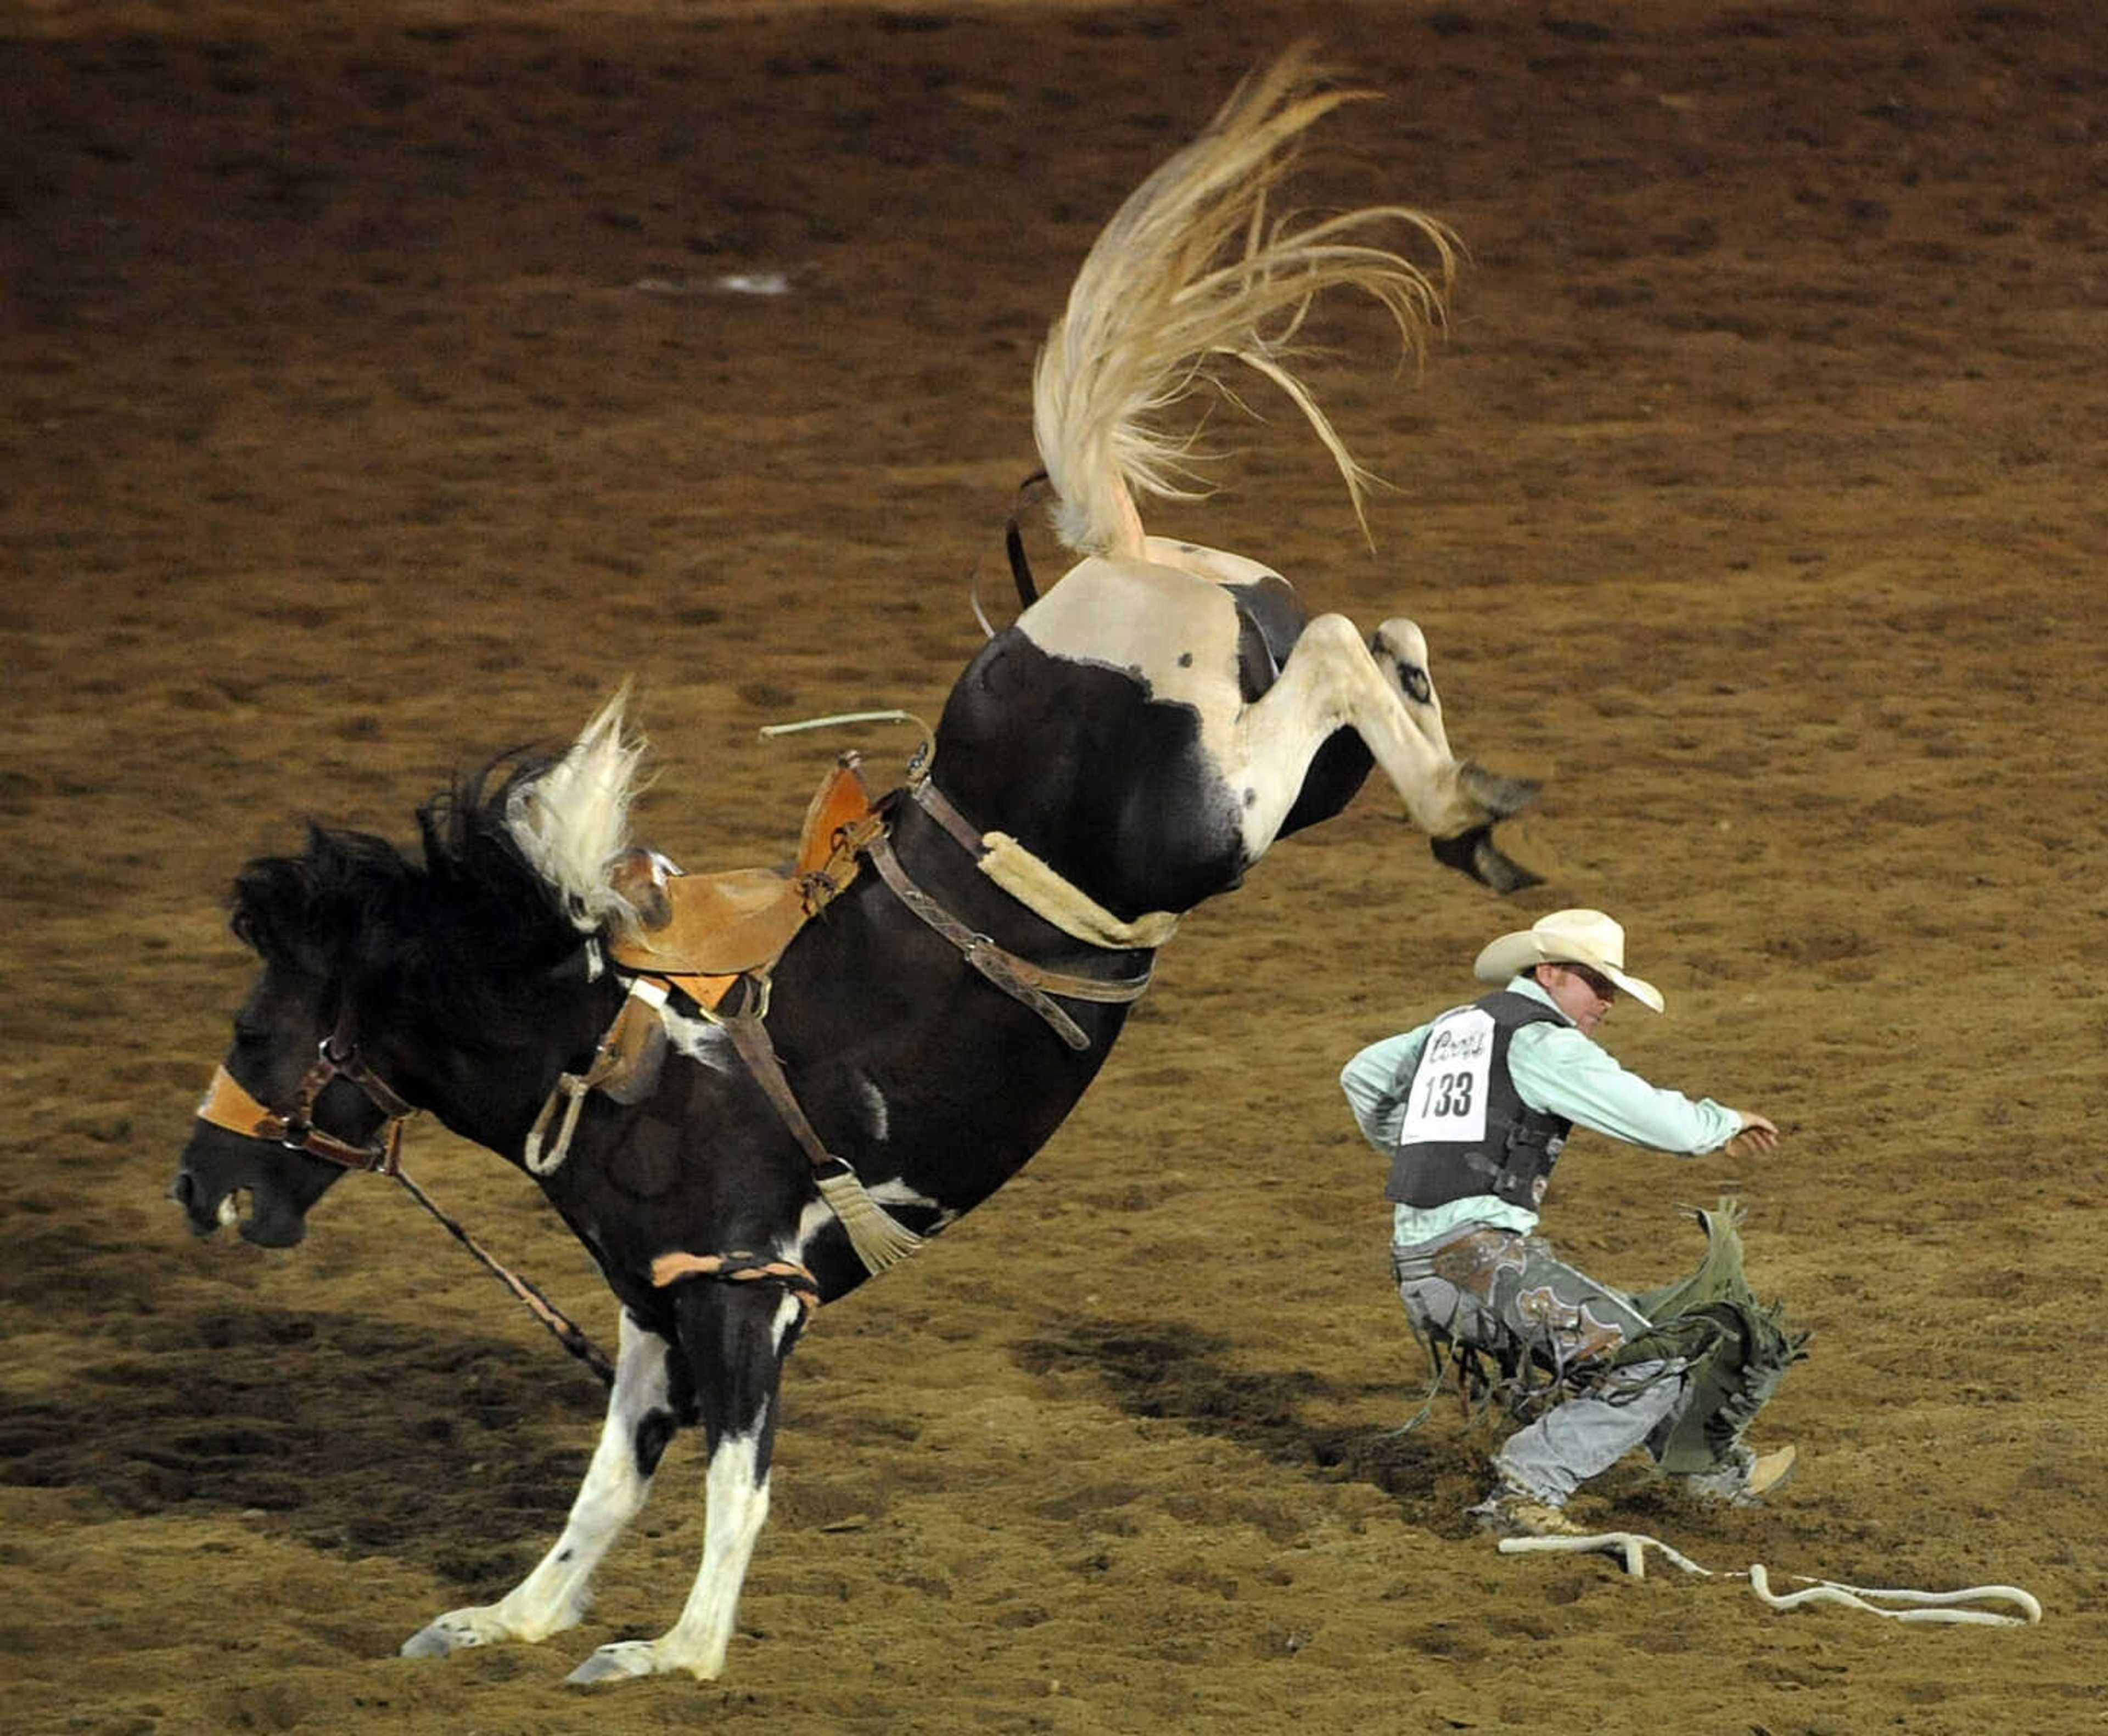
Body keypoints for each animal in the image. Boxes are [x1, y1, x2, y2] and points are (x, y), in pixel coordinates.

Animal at [169, 54, 1534, 1685]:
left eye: (258, 1028)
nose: (196, 1185)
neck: (606, 1054)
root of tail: (1117, 563)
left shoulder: (744, 1295)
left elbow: (732, 1483)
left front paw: (676, 1650)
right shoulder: (656, 1306)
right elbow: (605, 1488)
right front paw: (511, 1615)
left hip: (1202, 818)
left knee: (1342, 644)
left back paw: (1461, 805)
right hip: (1288, 786)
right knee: (1384, 637)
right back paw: (1469, 807)